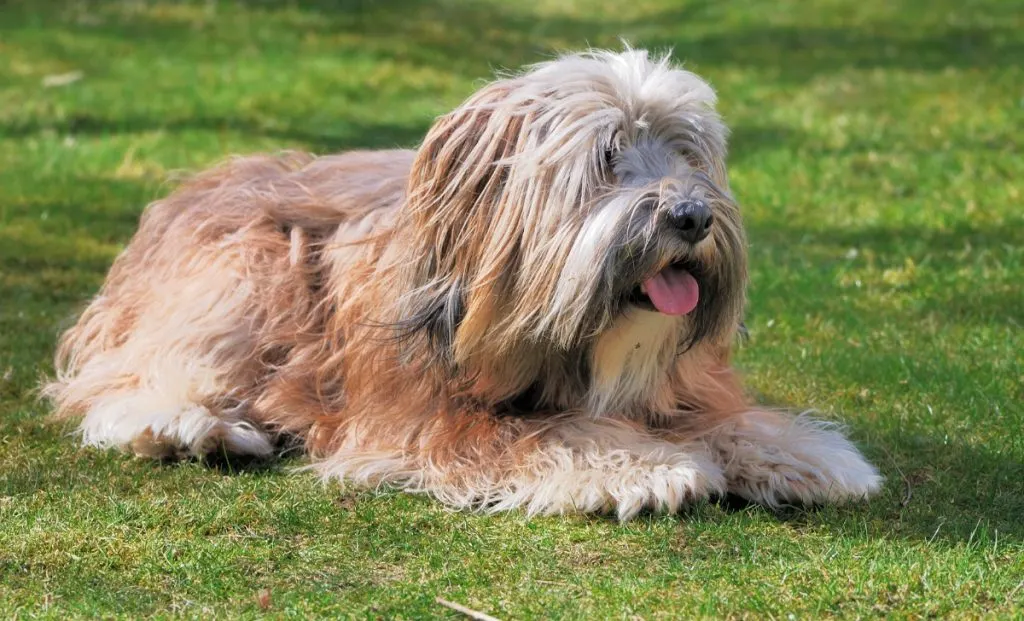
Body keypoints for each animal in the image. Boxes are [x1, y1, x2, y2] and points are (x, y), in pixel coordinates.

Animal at [46, 48, 880, 520]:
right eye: (607, 156)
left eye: (686, 152)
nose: (691, 215)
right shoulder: (427, 417)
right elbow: (542, 432)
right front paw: (647, 465)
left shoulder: (685, 383)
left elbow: (725, 415)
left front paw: (800, 452)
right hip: (245, 274)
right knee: (128, 378)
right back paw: (191, 424)